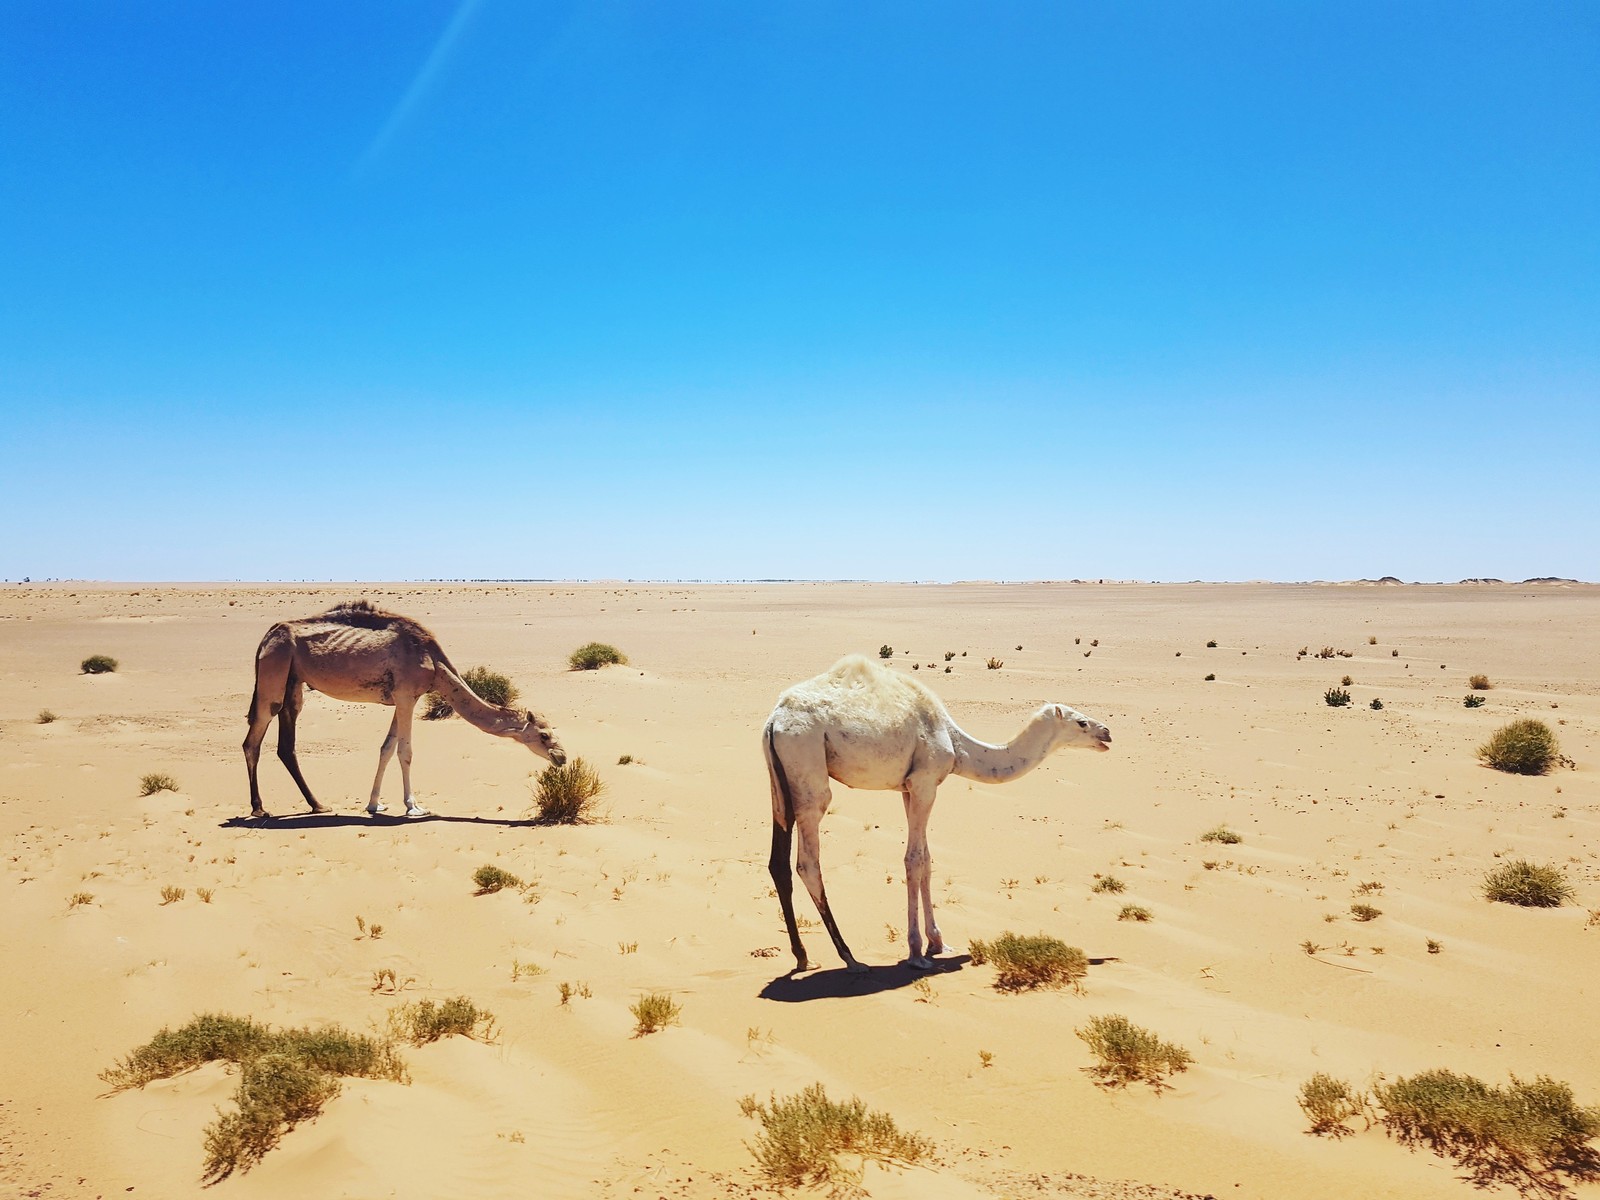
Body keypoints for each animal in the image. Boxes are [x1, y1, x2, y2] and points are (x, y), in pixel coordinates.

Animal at [236, 598, 563, 819]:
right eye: (544, 735)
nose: (561, 757)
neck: (435, 665)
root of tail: (268, 635)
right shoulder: (407, 696)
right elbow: (405, 751)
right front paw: (414, 806)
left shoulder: (403, 698)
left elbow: (386, 748)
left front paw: (374, 803)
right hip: (275, 666)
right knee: (255, 737)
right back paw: (259, 809)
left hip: (293, 679)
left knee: (286, 740)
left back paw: (318, 805)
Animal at [761, 659, 1113, 979]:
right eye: (1082, 722)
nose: (1107, 733)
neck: (956, 744)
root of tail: (774, 721)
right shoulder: (925, 782)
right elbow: (914, 860)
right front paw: (917, 953)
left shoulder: (909, 788)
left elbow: (928, 860)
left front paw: (937, 942)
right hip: (807, 765)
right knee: (808, 861)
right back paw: (850, 958)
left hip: (780, 780)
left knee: (778, 861)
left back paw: (803, 957)